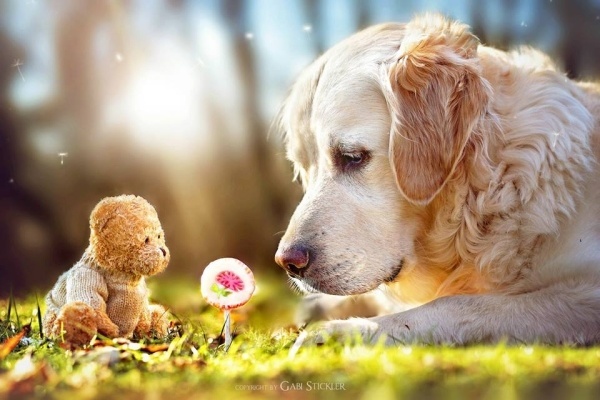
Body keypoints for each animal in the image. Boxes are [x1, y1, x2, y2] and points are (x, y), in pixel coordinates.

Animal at [274, 14, 600, 346]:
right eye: (303, 168)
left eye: (352, 156)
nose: (288, 263)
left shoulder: (587, 293)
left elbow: (459, 304)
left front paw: (348, 330)